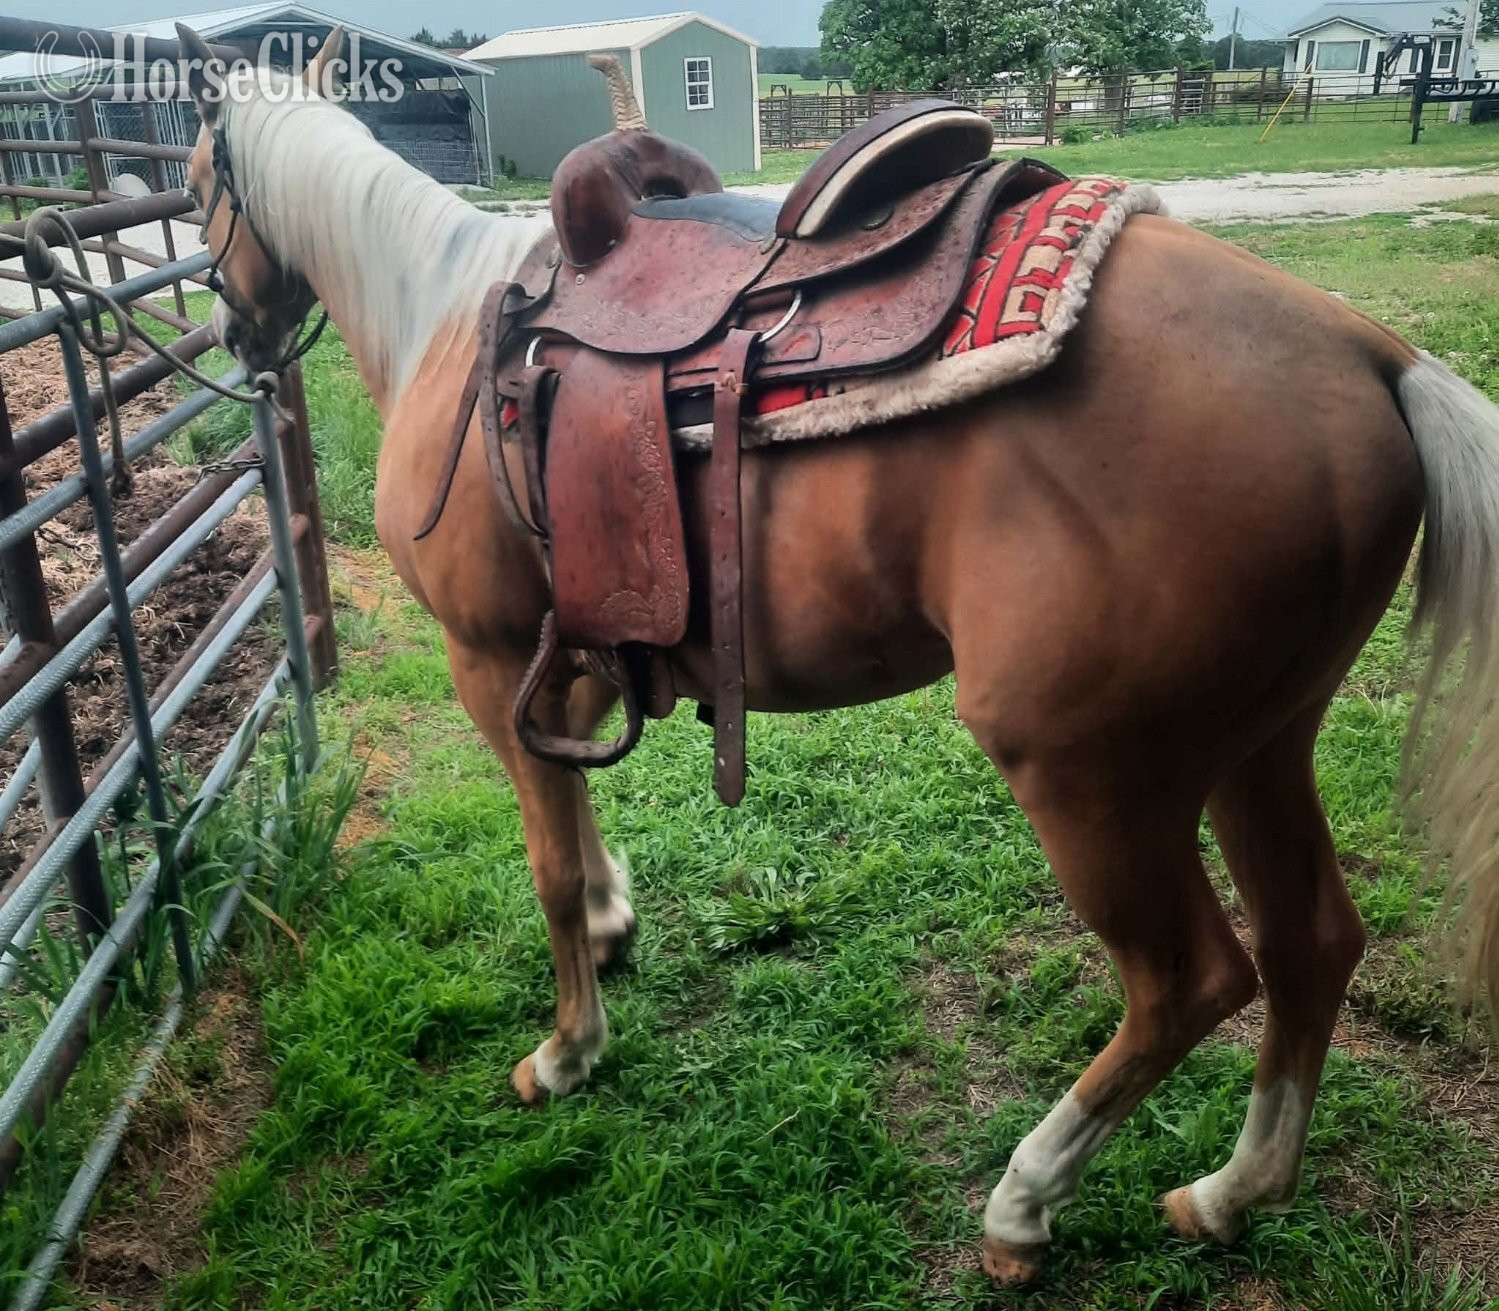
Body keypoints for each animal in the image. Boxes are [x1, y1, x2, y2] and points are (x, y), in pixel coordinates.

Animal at [174, 25, 1499, 1285]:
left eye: (193, 184)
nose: (227, 328)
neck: (446, 318)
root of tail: (1366, 351)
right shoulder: (566, 663)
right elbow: (582, 838)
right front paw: (610, 923)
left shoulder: (492, 665)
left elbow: (543, 867)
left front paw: (567, 1049)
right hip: (1257, 745)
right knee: (1311, 944)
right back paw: (1232, 1192)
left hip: (1091, 776)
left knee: (1189, 981)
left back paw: (1023, 1201)